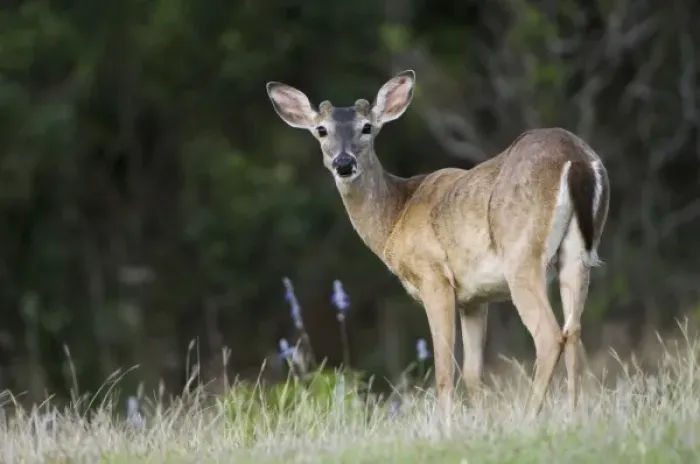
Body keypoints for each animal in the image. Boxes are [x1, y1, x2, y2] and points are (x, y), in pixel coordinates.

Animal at [265, 70, 610, 417]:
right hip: (578, 254)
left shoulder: (434, 277)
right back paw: (574, 413)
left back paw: (529, 416)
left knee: (550, 335)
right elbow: (472, 374)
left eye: (367, 127)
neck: (396, 215)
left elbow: (444, 372)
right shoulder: (474, 298)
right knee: (574, 331)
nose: (344, 163)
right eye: (321, 129)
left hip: (521, 254)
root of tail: (577, 159)